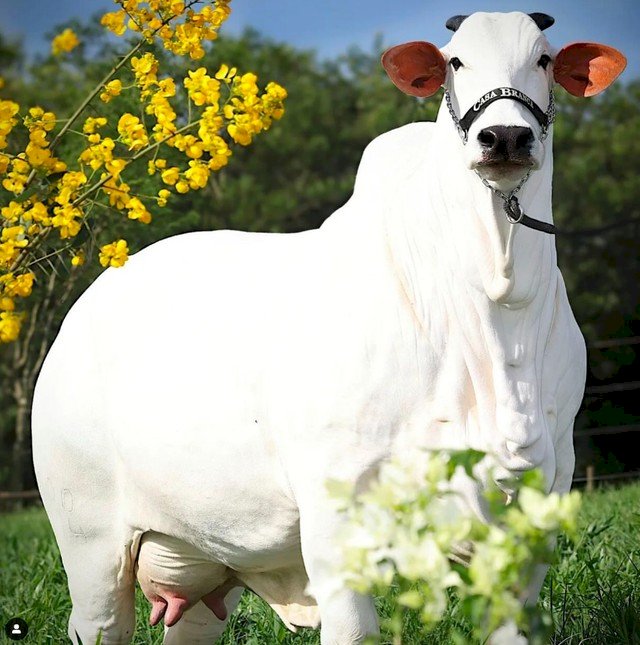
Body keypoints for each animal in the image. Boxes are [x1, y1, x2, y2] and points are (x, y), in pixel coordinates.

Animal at [31, 11, 625, 645]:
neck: (498, 307)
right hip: (90, 542)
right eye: (456, 61)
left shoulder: (539, 507)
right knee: (98, 617)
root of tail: (85, 305)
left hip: (206, 562)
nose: (506, 137)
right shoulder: (334, 510)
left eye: (543, 59)